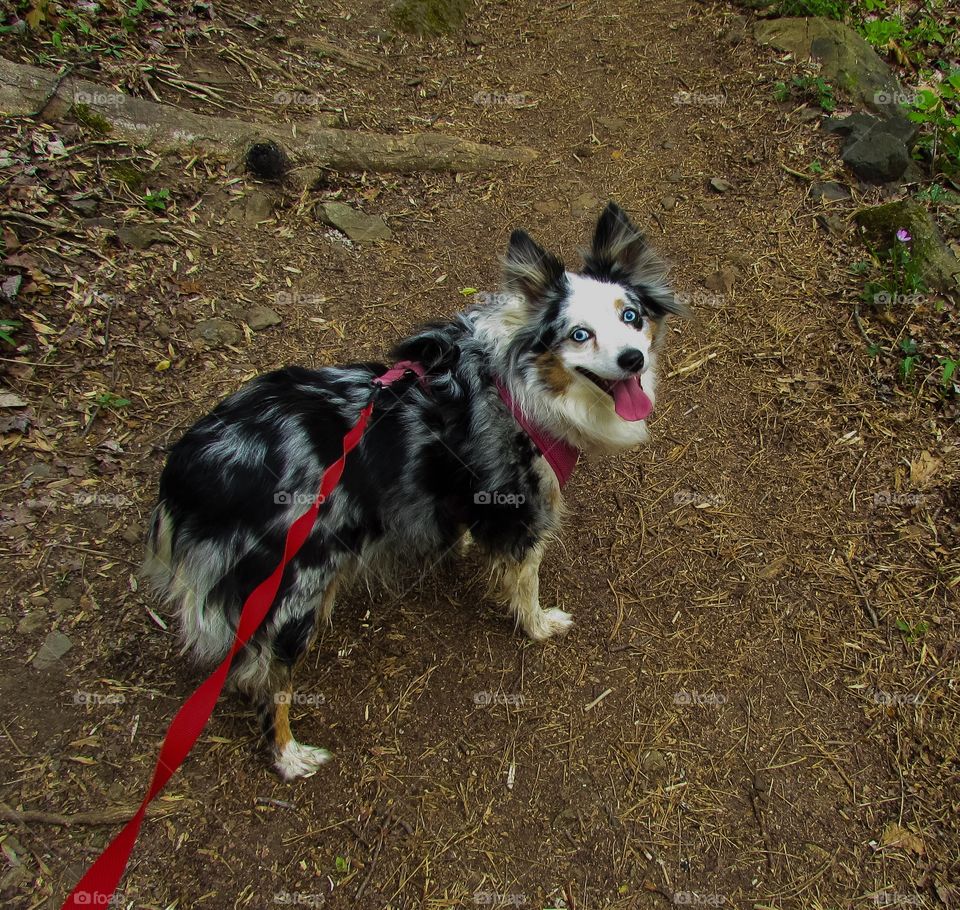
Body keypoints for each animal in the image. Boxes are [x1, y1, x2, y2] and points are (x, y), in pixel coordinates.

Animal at [142, 203, 684, 780]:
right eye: (579, 335)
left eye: (631, 316)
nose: (632, 360)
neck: (521, 383)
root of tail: (188, 469)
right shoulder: (521, 509)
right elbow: (526, 582)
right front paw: (539, 626)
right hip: (295, 591)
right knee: (270, 680)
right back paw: (290, 756)